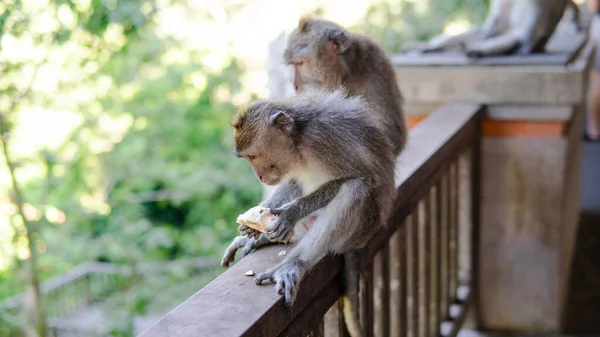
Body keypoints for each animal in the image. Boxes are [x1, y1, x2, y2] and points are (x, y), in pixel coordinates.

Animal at [218, 87, 396, 336]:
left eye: (253, 156)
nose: (259, 176)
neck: (299, 143)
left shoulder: (323, 139)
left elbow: (360, 177)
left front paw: (291, 213)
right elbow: (293, 182)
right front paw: (253, 226)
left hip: (366, 226)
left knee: (355, 189)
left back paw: (293, 264)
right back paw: (264, 240)